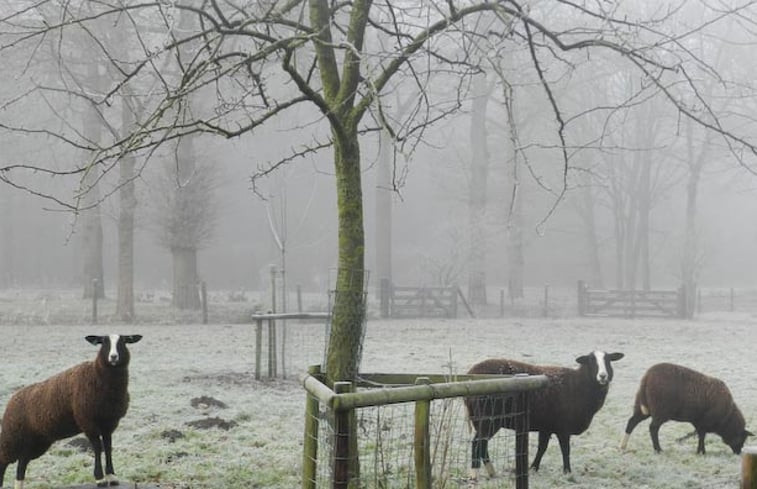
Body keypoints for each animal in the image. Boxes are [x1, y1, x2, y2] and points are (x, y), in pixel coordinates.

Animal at [0, 334, 142, 488]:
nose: (113, 357)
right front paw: (100, 479)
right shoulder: (88, 421)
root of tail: (12, 399)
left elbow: (108, 447)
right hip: (12, 437)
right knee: (4, 460)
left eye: (123, 341)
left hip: (35, 442)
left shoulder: (109, 423)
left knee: (22, 464)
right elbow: (98, 448)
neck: (97, 376)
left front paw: (112, 476)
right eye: (103, 342)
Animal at [464, 348, 624, 474]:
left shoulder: (547, 427)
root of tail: (470, 374)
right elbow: (565, 450)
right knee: (478, 443)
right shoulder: (563, 427)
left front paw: (533, 468)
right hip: (487, 419)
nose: (603, 376)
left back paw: (491, 472)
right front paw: (567, 471)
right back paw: (475, 473)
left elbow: (542, 448)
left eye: (608, 360)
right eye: (591, 361)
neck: (579, 385)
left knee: (481, 445)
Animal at [620, 362, 752, 454]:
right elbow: (702, 436)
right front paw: (701, 452)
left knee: (631, 422)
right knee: (653, 428)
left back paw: (623, 446)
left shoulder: (698, 421)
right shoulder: (704, 422)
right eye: (742, 438)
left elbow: (700, 435)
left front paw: (701, 451)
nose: (738, 453)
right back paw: (658, 449)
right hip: (660, 409)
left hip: (643, 407)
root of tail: (647, 377)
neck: (727, 417)